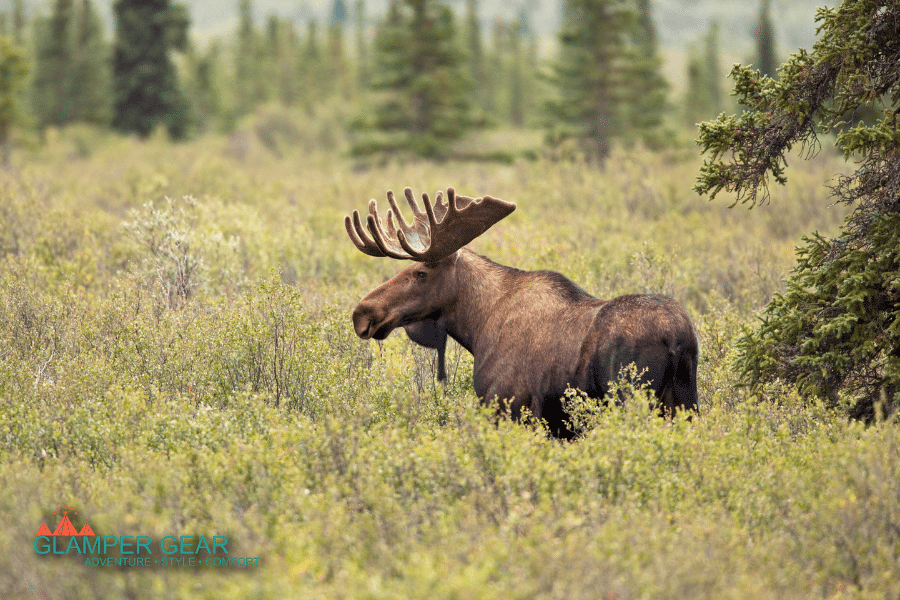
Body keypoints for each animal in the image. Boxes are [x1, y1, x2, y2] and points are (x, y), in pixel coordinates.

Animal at [346, 187, 699, 438]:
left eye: (420, 272)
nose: (363, 313)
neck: (477, 326)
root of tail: (677, 338)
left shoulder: (507, 406)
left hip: (631, 399)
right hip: (685, 401)